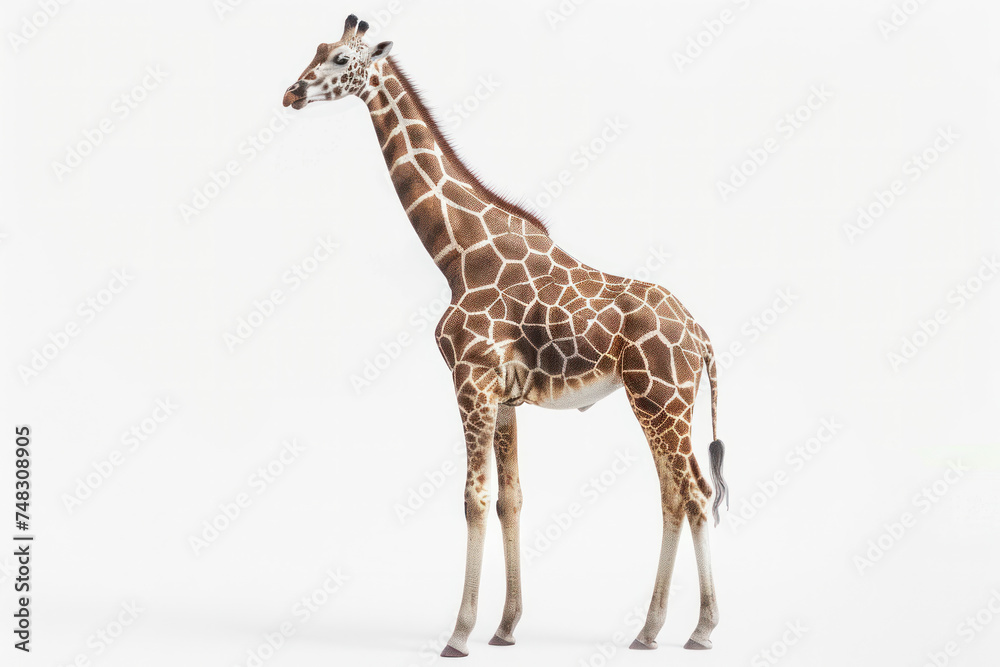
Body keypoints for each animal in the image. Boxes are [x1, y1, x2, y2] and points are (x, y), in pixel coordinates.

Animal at [282, 14, 729, 657]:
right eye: (318, 49)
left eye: (342, 59)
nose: (291, 93)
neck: (456, 253)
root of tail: (701, 336)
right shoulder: (505, 396)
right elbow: (509, 499)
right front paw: (506, 626)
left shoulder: (471, 380)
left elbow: (472, 499)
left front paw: (459, 633)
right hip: (660, 403)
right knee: (674, 493)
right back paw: (649, 631)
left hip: (661, 399)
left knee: (694, 492)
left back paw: (701, 629)